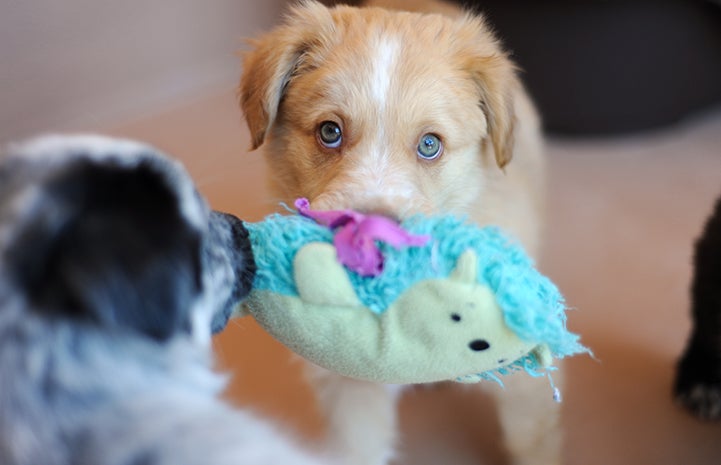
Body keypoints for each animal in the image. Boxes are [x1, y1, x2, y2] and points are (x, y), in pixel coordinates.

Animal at [238, 1, 552, 462]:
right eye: (329, 132)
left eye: (429, 144)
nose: (369, 241)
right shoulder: (349, 382)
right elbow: (357, 446)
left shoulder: (522, 379)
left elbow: (531, 438)